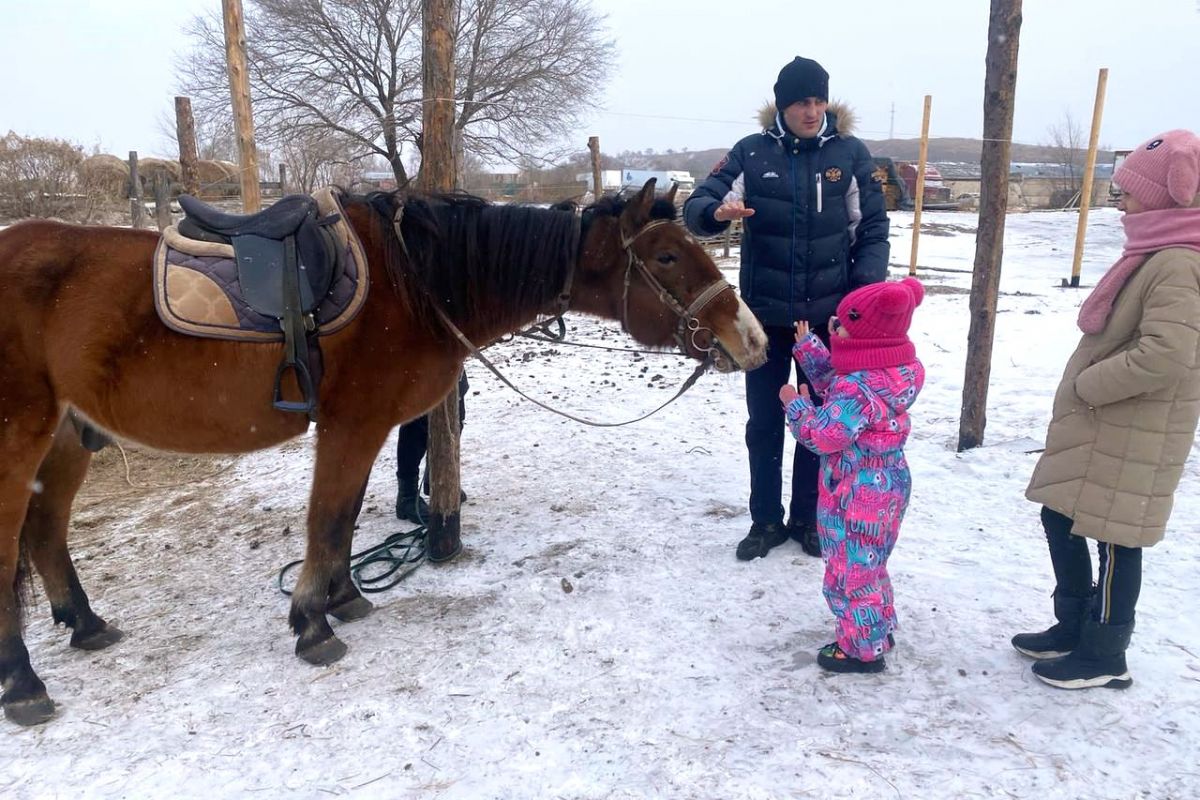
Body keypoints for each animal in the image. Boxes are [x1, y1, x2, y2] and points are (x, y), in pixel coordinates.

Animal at [0, 179, 768, 724]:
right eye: (666, 256)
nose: (754, 339)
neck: (416, 283)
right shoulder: (353, 425)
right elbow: (327, 518)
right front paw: (313, 624)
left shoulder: (365, 431)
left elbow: (342, 522)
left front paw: (344, 597)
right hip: (20, 437)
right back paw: (24, 684)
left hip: (68, 437)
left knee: (45, 532)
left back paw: (85, 625)